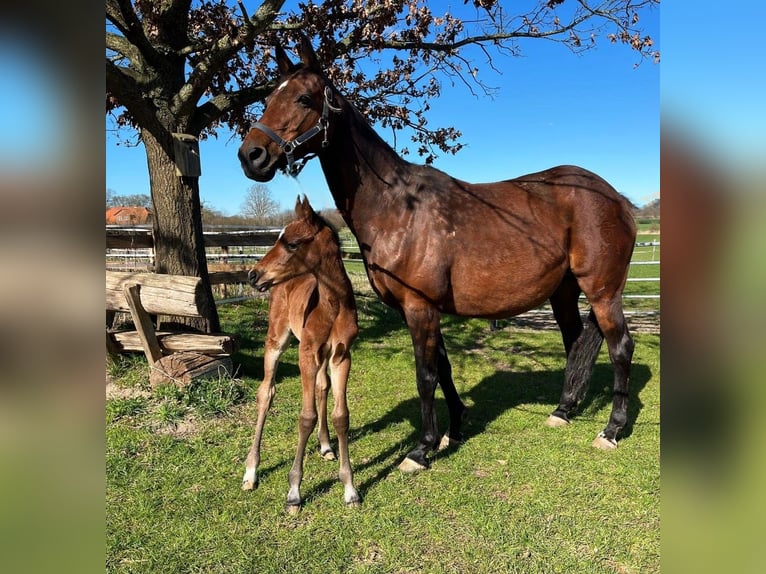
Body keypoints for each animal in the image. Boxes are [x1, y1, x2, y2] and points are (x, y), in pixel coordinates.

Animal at [238, 36, 636, 473]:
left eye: (304, 98)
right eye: (268, 97)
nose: (251, 156)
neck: (398, 208)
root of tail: (616, 198)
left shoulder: (420, 308)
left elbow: (426, 375)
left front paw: (421, 449)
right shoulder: (423, 310)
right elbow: (443, 367)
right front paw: (454, 429)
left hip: (603, 292)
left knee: (620, 348)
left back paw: (612, 430)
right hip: (564, 291)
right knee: (574, 342)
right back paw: (563, 410)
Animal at [242, 195, 360, 513]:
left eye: (292, 243)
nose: (253, 275)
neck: (332, 305)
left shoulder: (341, 356)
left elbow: (341, 416)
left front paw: (350, 488)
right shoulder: (305, 354)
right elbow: (305, 417)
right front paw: (294, 491)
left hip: (323, 356)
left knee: (322, 386)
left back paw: (326, 446)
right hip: (277, 339)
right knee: (266, 392)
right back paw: (251, 471)